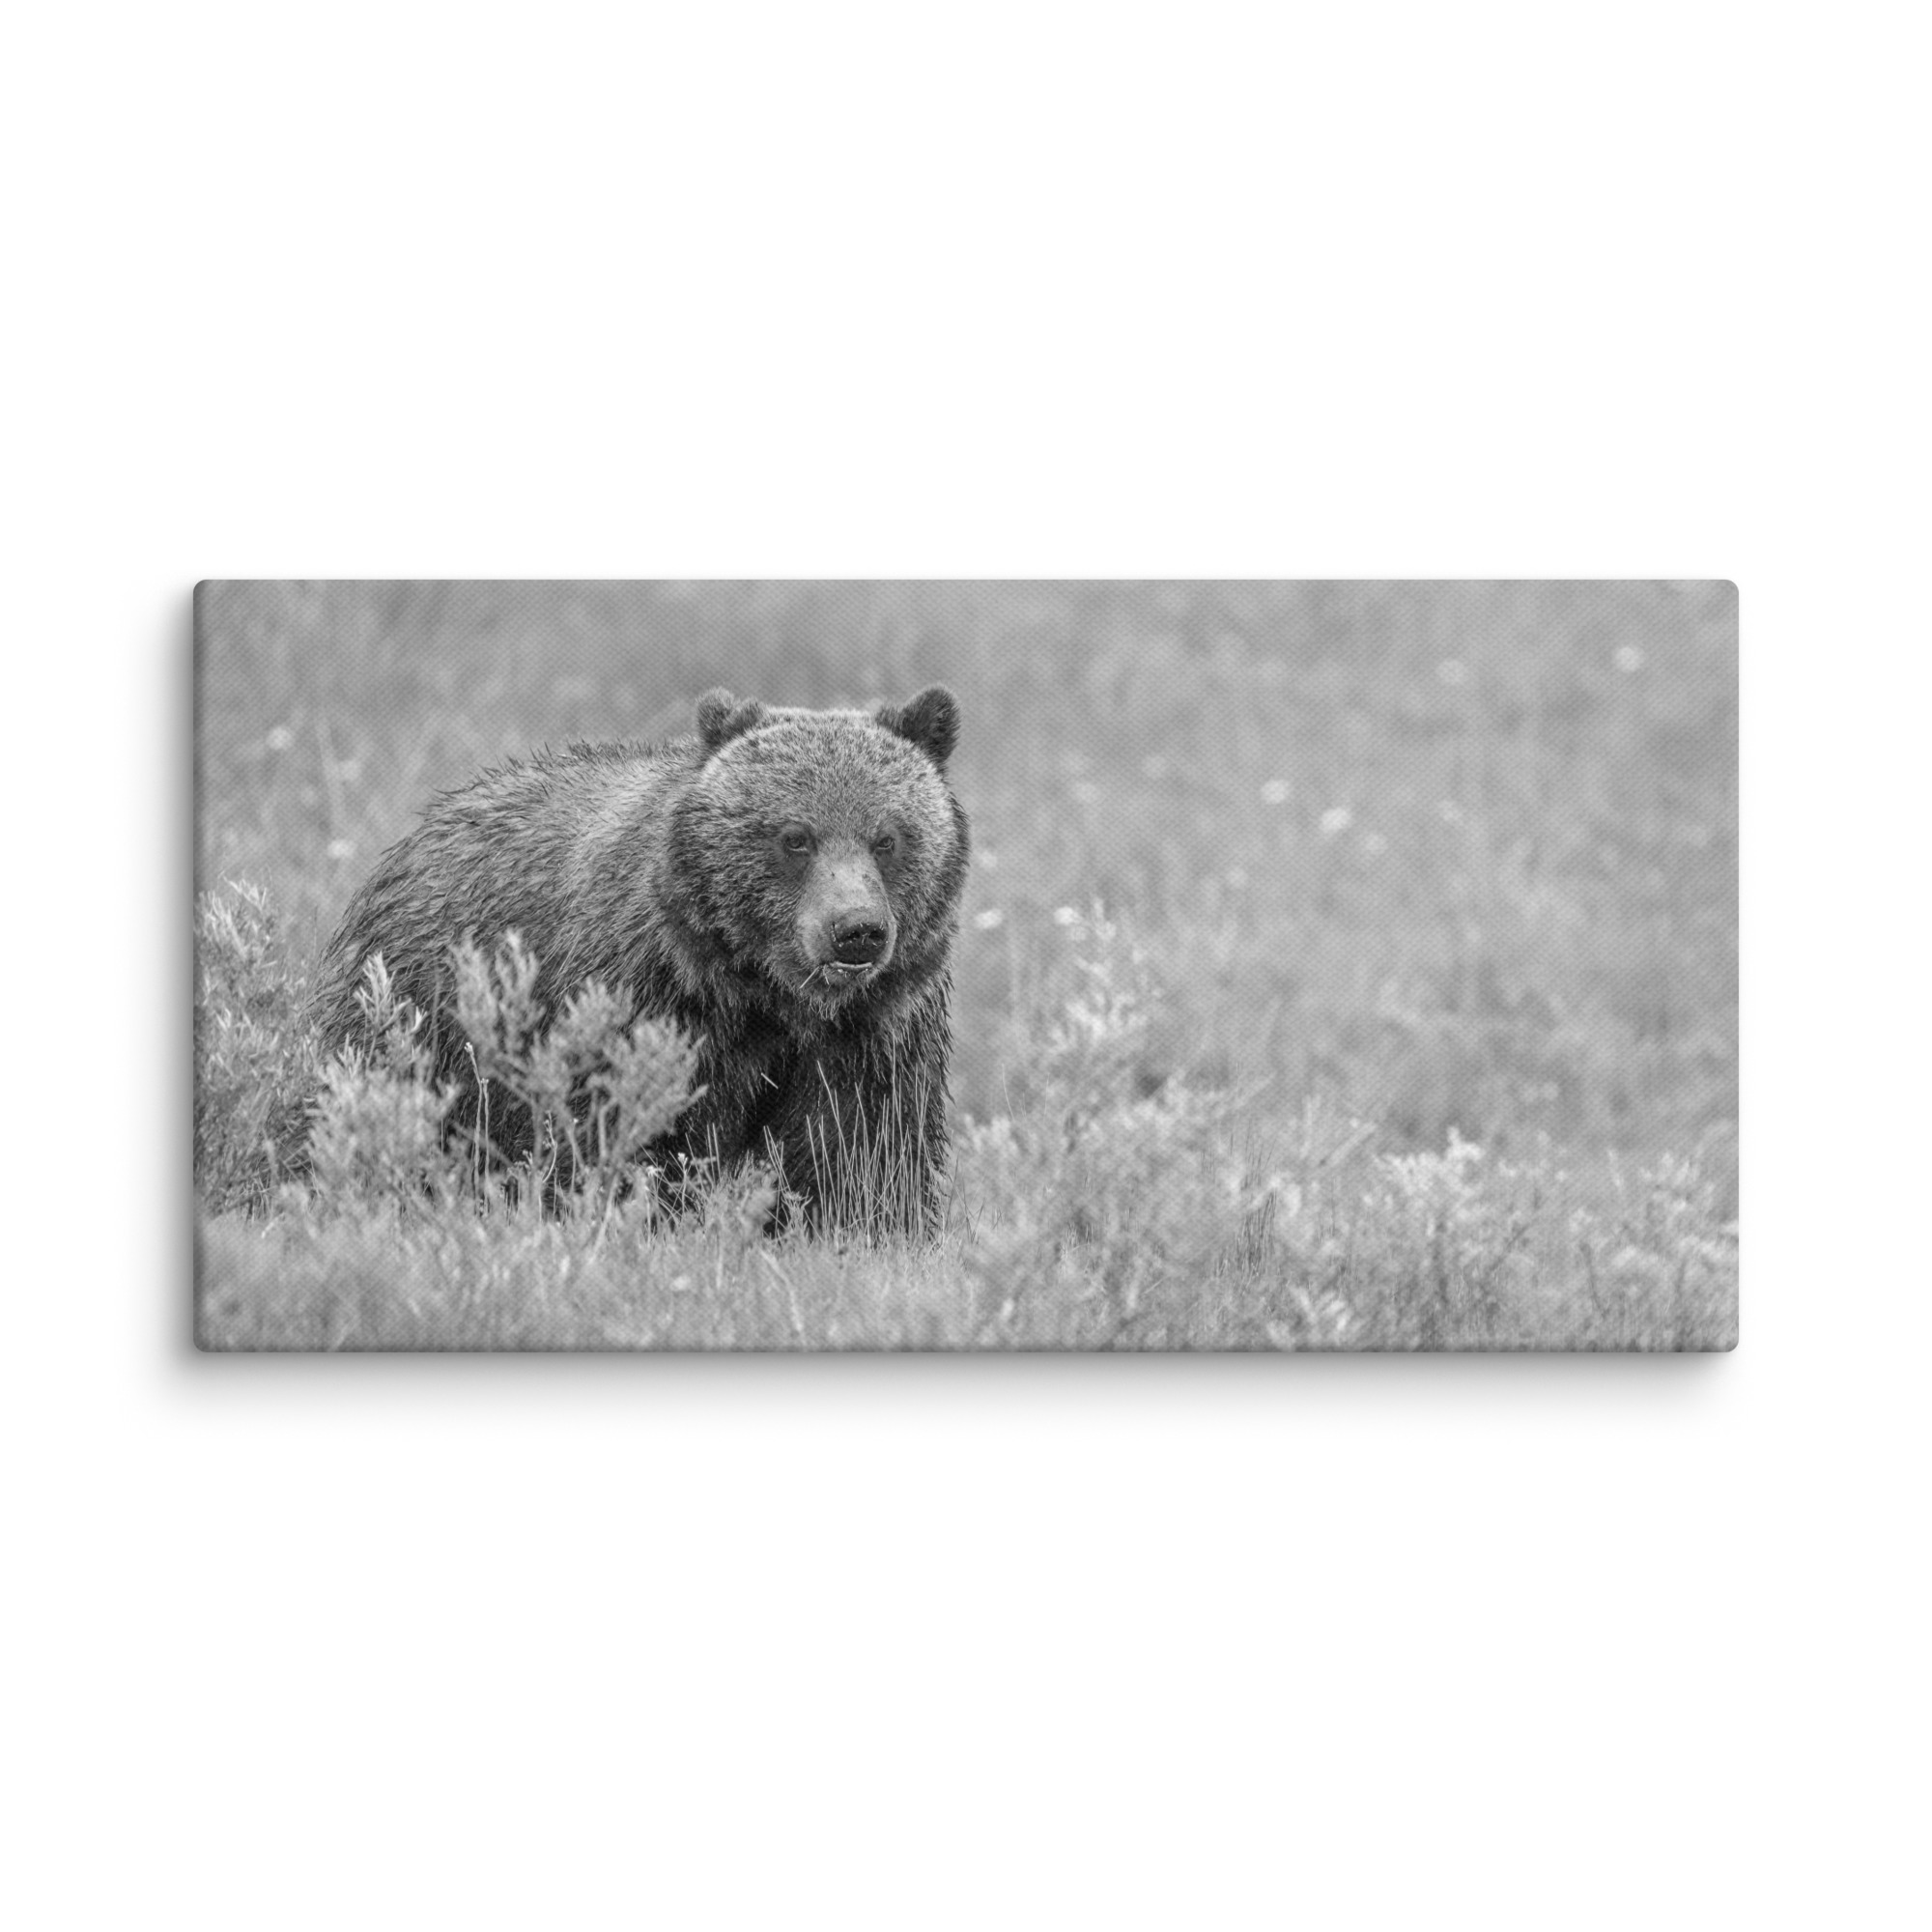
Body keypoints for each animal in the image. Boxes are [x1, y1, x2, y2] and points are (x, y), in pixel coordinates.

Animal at [308, 685, 969, 1236]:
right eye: (795, 837)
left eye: (887, 838)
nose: (855, 931)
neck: (766, 995)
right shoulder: (645, 1000)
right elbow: (624, 1132)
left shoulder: (873, 1032)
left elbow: (861, 1154)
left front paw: (863, 1233)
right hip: (420, 1014)